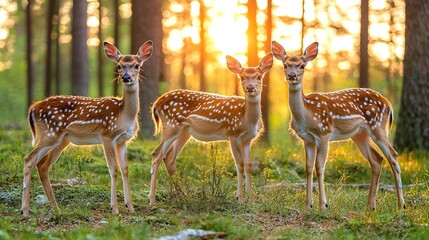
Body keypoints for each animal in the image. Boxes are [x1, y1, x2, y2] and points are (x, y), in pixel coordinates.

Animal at [20, 39, 154, 216]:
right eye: (119, 66)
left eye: (137, 65)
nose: (126, 77)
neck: (124, 114)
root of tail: (33, 108)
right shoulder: (107, 135)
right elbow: (113, 169)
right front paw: (115, 208)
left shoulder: (122, 140)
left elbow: (125, 169)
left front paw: (130, 207)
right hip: (50, 133)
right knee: (29, 159)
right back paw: (25, 210)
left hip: (61, 140)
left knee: (42, 165)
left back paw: (56, 208)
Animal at [149, 52, 272, 206]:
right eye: (242, 76)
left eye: (259, 76)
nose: (250, 88)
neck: (247, 119)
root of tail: (157, 102)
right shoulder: (233, 134)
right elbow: (240, 164)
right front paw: (240, 199)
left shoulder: (247, 139)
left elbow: (249, 166)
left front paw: (251, 200)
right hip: (171, 125)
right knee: (156, 154)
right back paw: (152, 201)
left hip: (184, 131)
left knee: (169, 157)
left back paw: (182, 195)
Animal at [270, 41, 404, 212]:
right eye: (285, 65)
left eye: (302, 66)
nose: (292, 76)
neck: (306, 116)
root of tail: (389, 104)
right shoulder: (307, 139)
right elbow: (308, 168)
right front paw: (308, 205)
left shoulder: (323, 134)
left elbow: (319, 167)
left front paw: (323, 205)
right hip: (359, 134)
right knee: (377, 159)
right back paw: (370, 206)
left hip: (378, 126)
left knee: (393, 155)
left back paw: (401, 205)